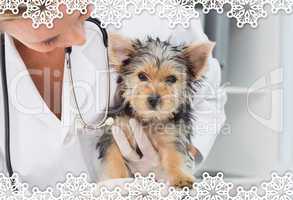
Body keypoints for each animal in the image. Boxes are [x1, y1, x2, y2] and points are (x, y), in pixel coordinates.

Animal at [97, 32, 213, 188]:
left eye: (171, 79)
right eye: (141, 76)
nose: (153, 99)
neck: (150, 118)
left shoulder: (172, 134)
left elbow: (175, 156)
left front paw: (181, 177)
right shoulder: (114, 132)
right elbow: (113, 157)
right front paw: (117, 181)